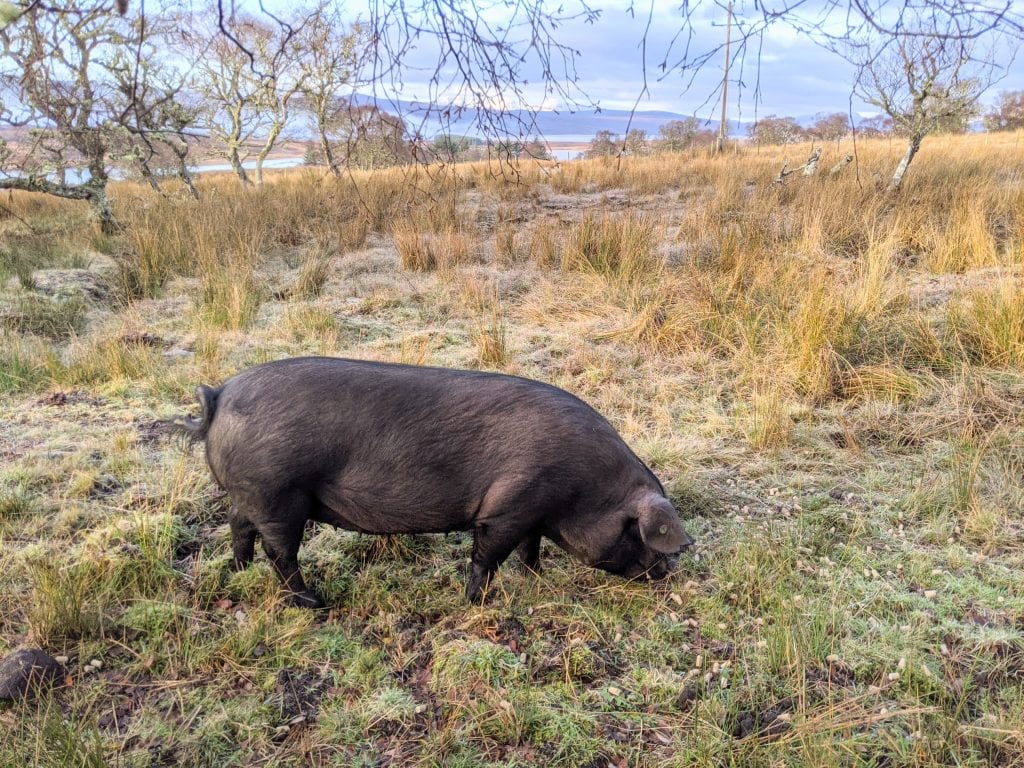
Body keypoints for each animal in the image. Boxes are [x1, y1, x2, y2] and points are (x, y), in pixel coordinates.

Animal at [179, 357, 693, 608]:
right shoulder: (507, 508)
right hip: (278, 494)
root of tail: (218, 394)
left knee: (237, 526)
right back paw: (312, 602)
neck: (584, 488)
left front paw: (536, 577)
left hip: (250, 494)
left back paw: (239, 572)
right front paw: (477, 603)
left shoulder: (531, 511)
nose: (669, 573)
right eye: (640, 533)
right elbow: (488, 555)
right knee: (280, 553)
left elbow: (529, 549)